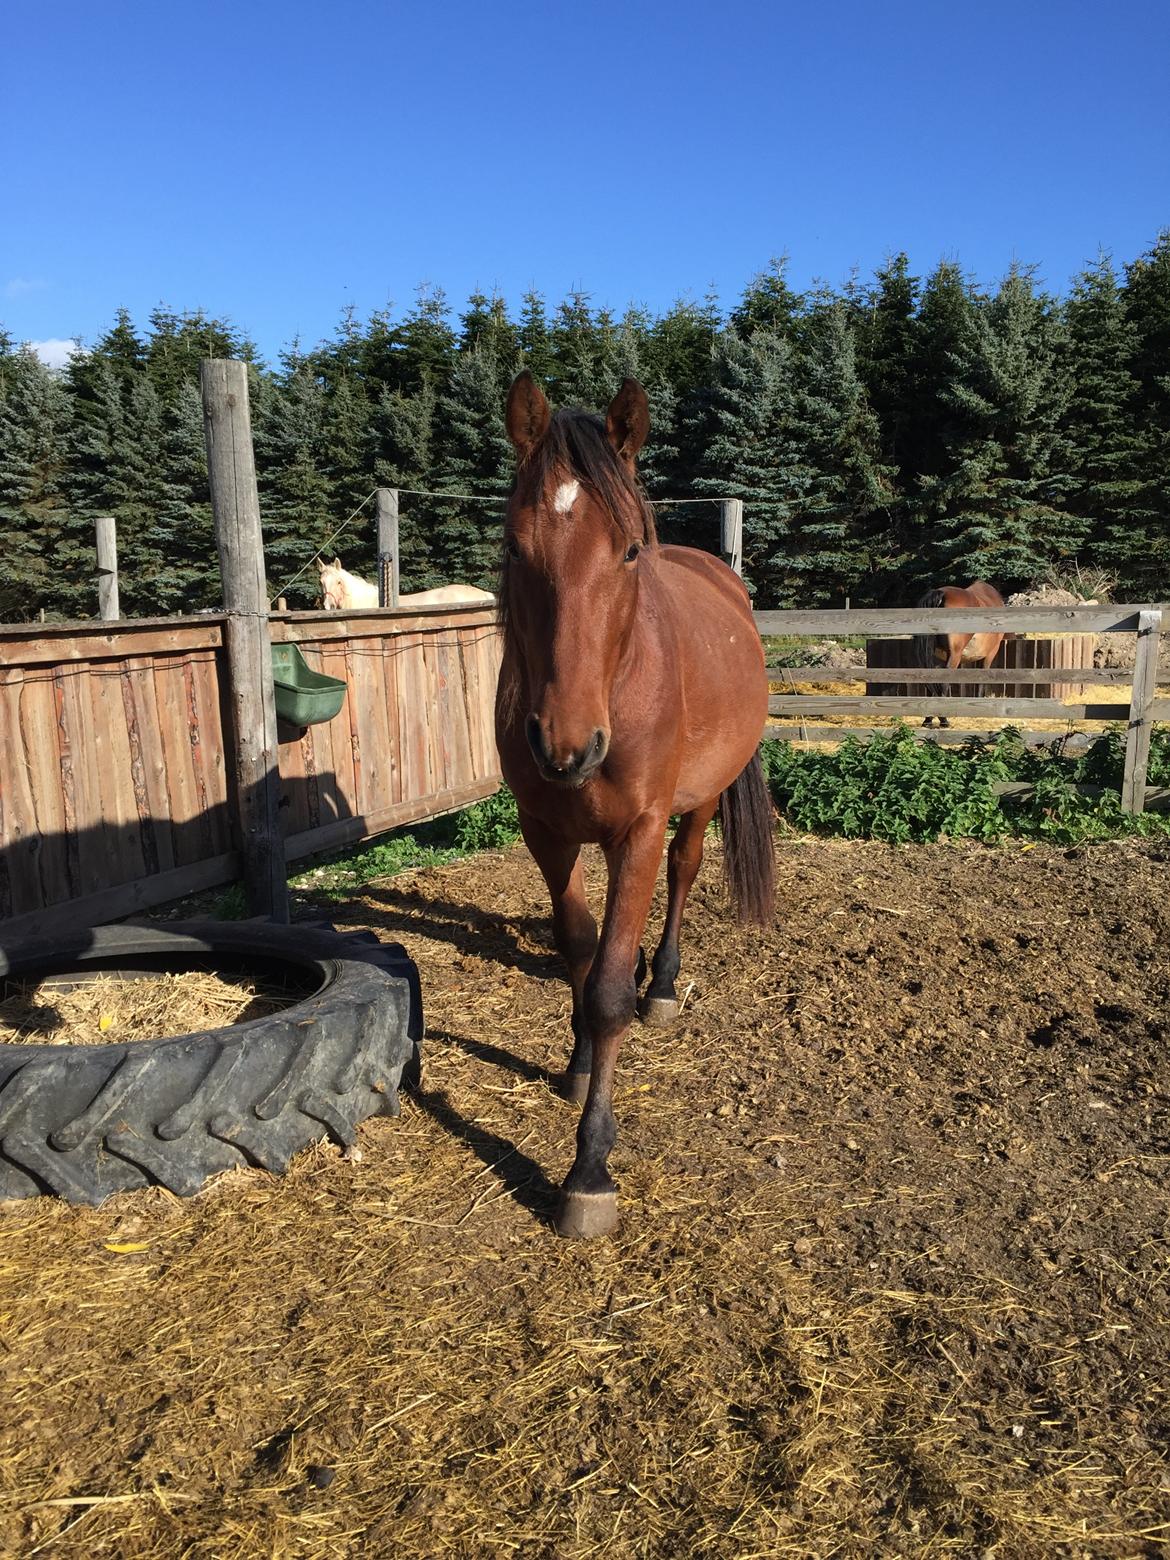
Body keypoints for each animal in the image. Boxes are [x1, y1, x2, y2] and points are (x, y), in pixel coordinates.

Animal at [496, 368, 780, 1241]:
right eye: (514, 546)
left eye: (625, 551)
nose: (565, 743)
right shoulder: (546, 833)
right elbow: (579, 957)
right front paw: (578, 1063)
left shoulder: (638, 832)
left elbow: (610, 993)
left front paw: (589, 1167)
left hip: (699, 803)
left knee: (685, 874)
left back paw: (665, 983)